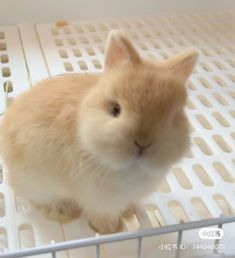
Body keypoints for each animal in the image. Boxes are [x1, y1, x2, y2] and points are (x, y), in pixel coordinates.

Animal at [0, 30, 198, 234]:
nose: (143, 143)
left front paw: (129, 213)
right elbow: (104, 217)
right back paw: (64, 212)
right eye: (116, 109)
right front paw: (111, 230)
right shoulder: (99, 202)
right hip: (37, 183)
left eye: (174, 117)